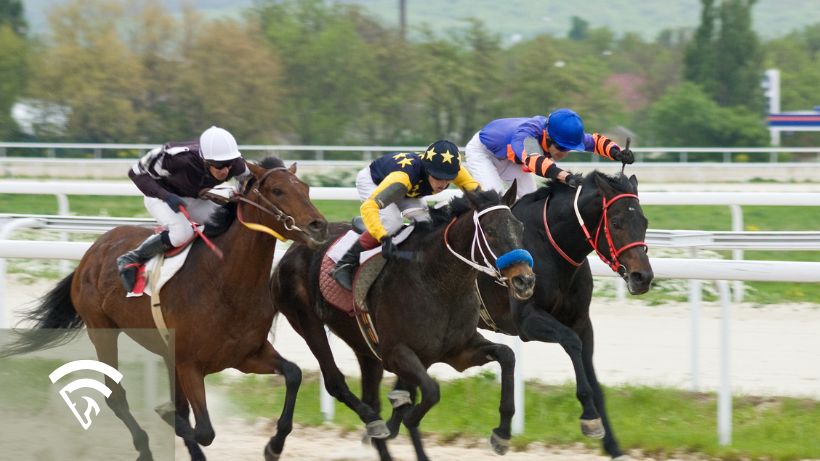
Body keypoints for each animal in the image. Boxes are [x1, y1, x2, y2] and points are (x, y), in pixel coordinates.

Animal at [0, 156, 326, 458]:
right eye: (277, 190)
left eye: (306, 189)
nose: (319, 227)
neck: (225, 284)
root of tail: (92, 252)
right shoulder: (189, 364)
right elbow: (201, 429)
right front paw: (167, 416)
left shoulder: (246, 355)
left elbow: (293, 374)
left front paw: (274, 444)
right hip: (102, 330)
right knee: (116, 396)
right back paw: (143, 447)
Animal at [474, 170, 652, 460]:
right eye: (616, 223)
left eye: (644, 221)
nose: (643, 277)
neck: (549, 247)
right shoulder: (527, 321)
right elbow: (570, 342)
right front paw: (589, 417)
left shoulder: (582, 321)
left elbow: (593, 376)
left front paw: (612, 445)